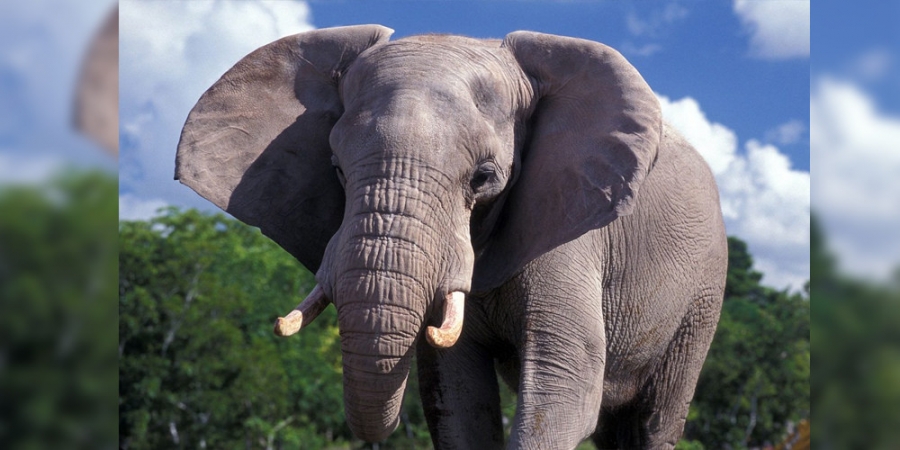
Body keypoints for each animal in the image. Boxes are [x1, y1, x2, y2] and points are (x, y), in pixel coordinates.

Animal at [175, 25, 727, 449]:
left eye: (483, 178)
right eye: (336, 169)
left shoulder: (570, 229)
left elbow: (564, 382)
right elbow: (454, 395)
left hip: (702, 298)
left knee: (654, 420)